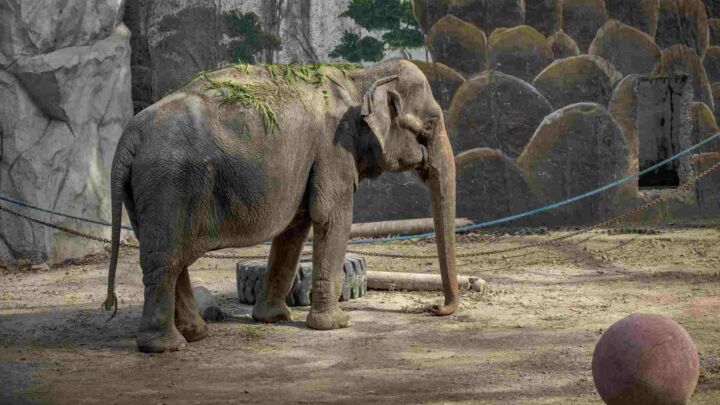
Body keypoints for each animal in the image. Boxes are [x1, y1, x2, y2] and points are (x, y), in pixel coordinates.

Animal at [103, 59, 458, 353]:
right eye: (430, 124)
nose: (434, 309)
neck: (361, 75)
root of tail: (130, 134)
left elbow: (294, 229)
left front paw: (272, 318)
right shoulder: (333, 147)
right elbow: (332, 217)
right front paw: (335, 325)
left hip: (147, 191)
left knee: (170, 255)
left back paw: (195, 334)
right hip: (170, 183)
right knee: (166, 260)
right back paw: (167, 346)